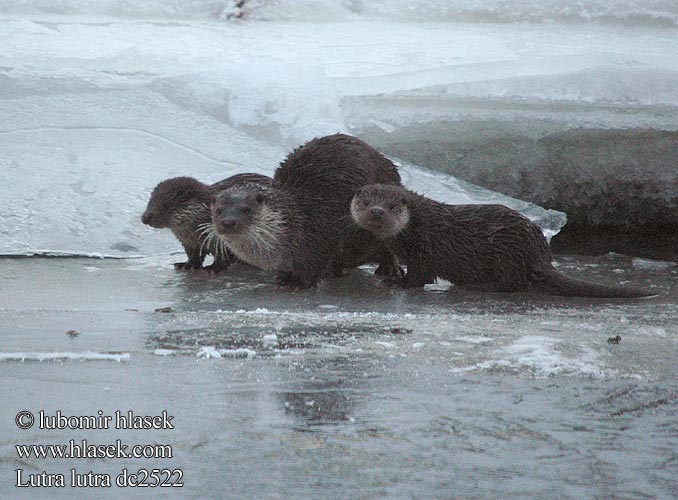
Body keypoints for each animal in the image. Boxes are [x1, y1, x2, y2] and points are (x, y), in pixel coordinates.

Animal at [141, 174, 270, 272]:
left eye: (168, 204)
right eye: (151, 200)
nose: (145, 217)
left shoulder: (221, 241)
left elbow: (223, 256)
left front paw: (213, 268)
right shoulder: (189, 243)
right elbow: (193, 255)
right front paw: (187, 265)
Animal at [209, 134, 404, 290]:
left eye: (246, 209)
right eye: (219, 210)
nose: (228, 222)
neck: (299, 218)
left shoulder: (321, 234)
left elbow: (316, 262)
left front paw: (297, 283)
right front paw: (284, 276)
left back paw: (389, 269)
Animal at [350, 185, 652, 298]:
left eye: (391, 205)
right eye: (365, 202)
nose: (376, 211)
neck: (415, 225)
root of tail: (539, 252)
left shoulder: (425, 248)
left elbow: (419, 276)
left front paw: (397, 283)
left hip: (506, 250)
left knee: (513, 283)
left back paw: (478, 285)